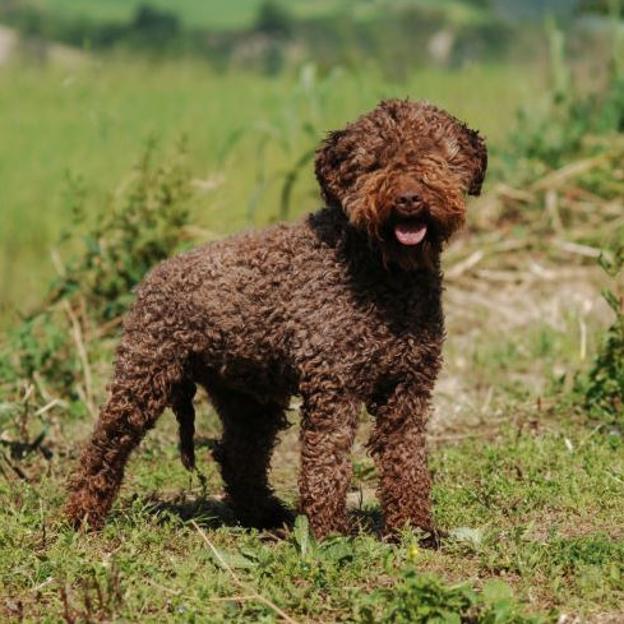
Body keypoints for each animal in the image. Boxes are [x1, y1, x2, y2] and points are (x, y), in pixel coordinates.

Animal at [67, 100, 488, 540]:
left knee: (238, 456)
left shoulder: (408, 386)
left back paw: (265, 515)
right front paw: (329, 535)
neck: (380, 270)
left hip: (249, 395)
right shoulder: (333, 387)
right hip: (144, 374)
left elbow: (407, 461)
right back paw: (80, 516)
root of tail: (152, 275)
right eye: (374, 163)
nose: (408, 199)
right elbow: (326, 463)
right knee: (105, 444)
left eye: (435, 157)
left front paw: (414, 531)